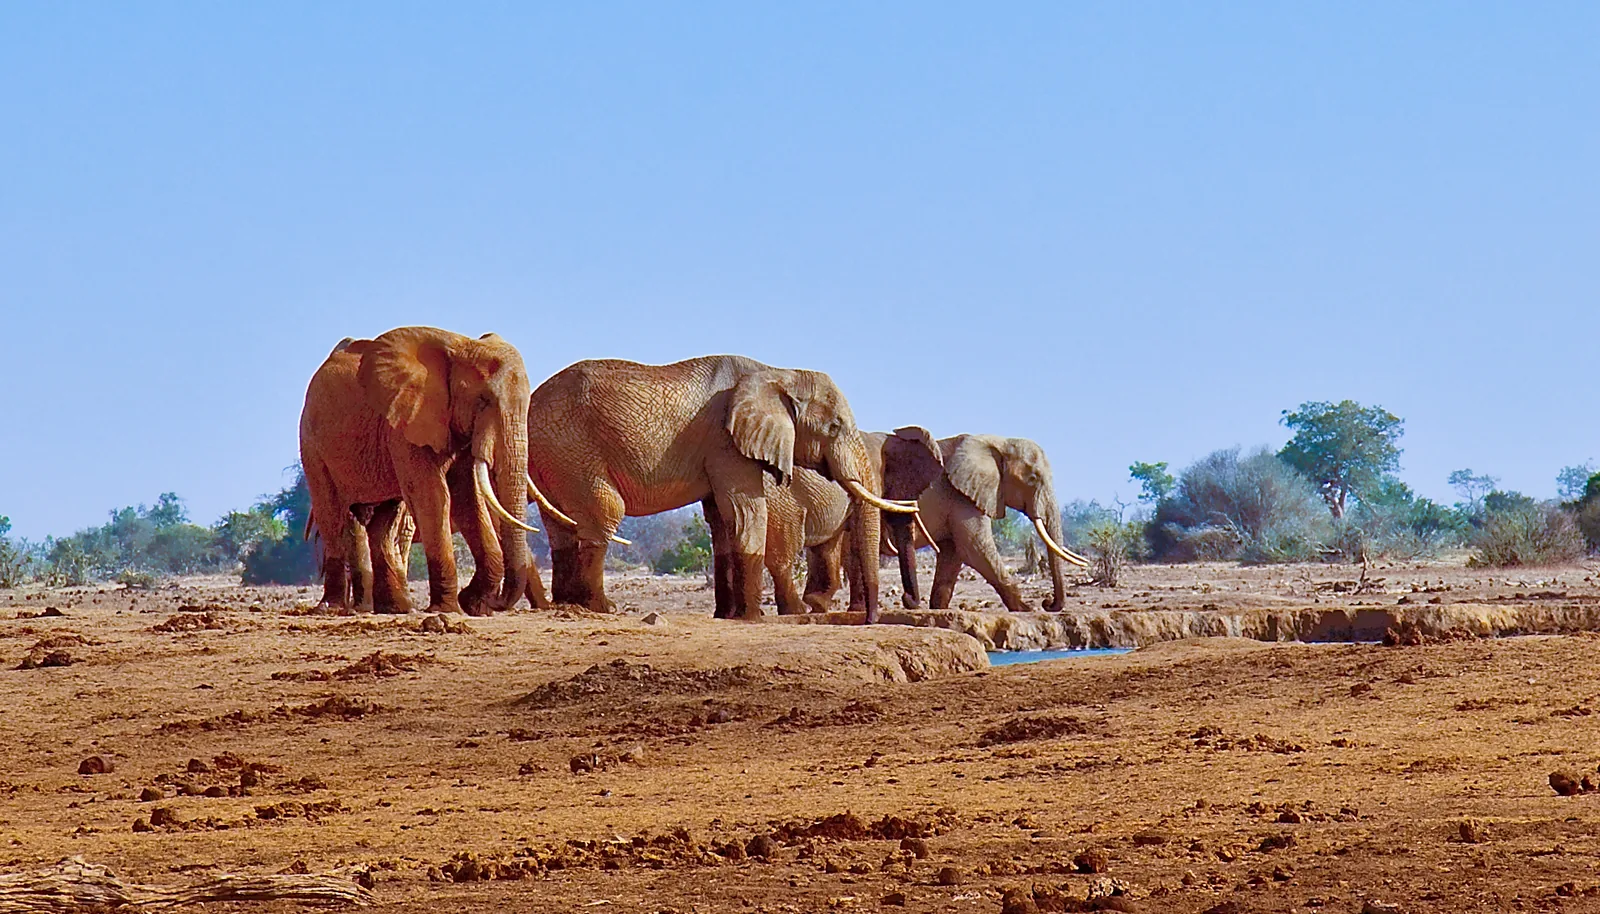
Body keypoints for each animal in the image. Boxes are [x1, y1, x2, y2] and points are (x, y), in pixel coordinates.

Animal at [298, 327, 539, 615]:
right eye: (483, 401)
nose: (498, 602)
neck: (462, 347)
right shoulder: (405, 423)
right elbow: (433, 496)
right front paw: (449, 609)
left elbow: (468, 499)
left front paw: (473, 605)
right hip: (312, 445)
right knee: (332, 514)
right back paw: (332, 608)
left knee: (384, 521)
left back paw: (395, 608)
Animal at [525, 355, 920, 622]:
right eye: (835, 427)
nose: (869, 619)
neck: (776, 372)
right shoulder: (726, 443)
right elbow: (746, 511)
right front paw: (753, 618)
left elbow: (722, 521)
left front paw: (729, 615)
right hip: (573, 448)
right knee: (604, 512)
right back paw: (602, 608)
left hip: (553, 455)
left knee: (560, 526)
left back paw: (569, 605)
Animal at [894, 434, 1091, 613]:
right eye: (1033, 478)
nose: (1047, 603)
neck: (999, 442)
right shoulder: (962, 498)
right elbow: (975, 549)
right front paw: (1026, 609)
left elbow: (953, 553)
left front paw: (938, 609)